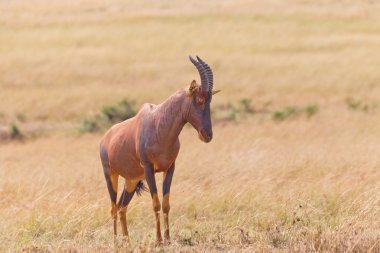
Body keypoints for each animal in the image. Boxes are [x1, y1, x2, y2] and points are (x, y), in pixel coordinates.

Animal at [99, 55, 220, 243]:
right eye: (199, 100)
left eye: (210, 101)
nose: (207, 135)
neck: (158, 124)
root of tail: (105, 138)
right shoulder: (149, 169)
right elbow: (155, 204)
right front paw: (158, 240)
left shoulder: (170, 168)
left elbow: (166, 204)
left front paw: (168, 239)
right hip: (110, 174)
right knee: (113, 207)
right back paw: (116, 242)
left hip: (132, 180)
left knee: (121, 207)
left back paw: (127, 241)